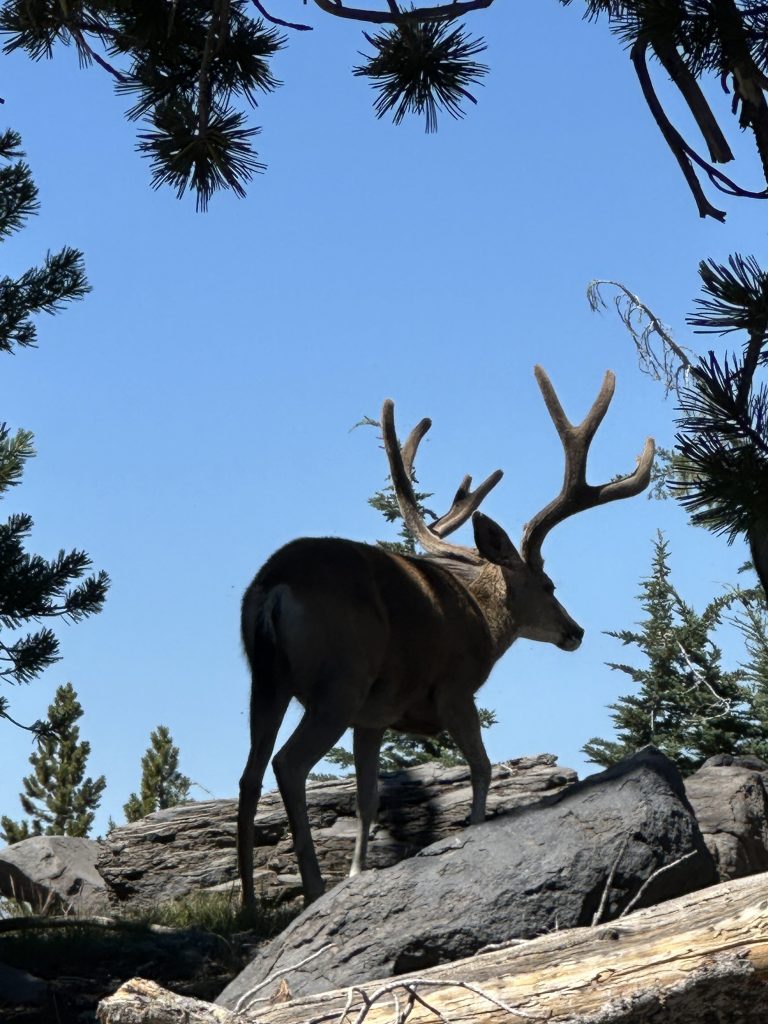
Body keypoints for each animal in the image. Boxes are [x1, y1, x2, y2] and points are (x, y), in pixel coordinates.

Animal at [237, 366, 655, 908]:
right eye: (549, 585)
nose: (575, 631)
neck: (485, 624)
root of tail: (275, 587)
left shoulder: (373, 716)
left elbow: (368, 796)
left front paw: (358, 872)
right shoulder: (455, 689)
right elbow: (483, 767)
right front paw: (475, 830)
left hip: (266, 679)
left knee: (249, 776)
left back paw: (249, 903)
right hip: (339, 680)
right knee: (288, 764)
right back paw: (311, 889)